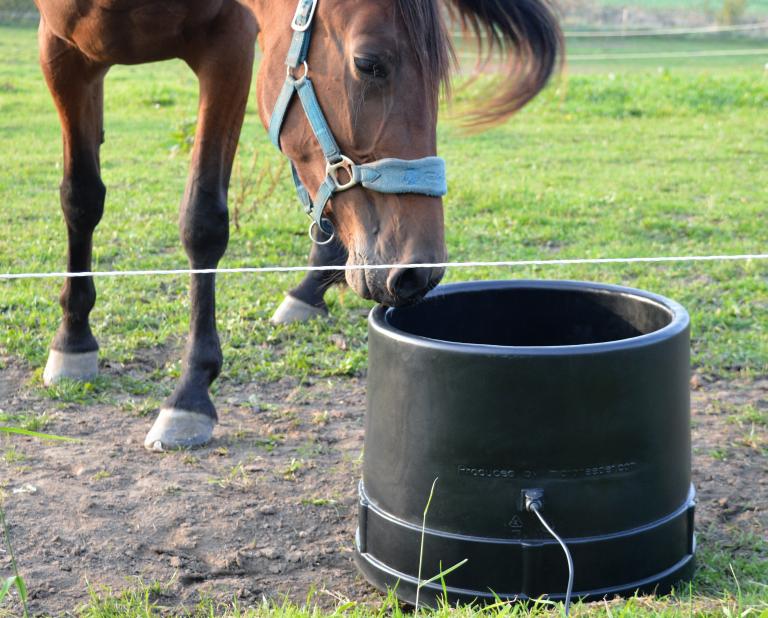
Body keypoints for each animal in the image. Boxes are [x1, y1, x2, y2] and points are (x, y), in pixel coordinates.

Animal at [33, 0, 560, 448]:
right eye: (368, 63)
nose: (419, 273)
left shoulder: (229, 45)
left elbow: (203, 221)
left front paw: (190, 394)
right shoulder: (61, 51)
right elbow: (80, 198)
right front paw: (73, 339)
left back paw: (308, 290)